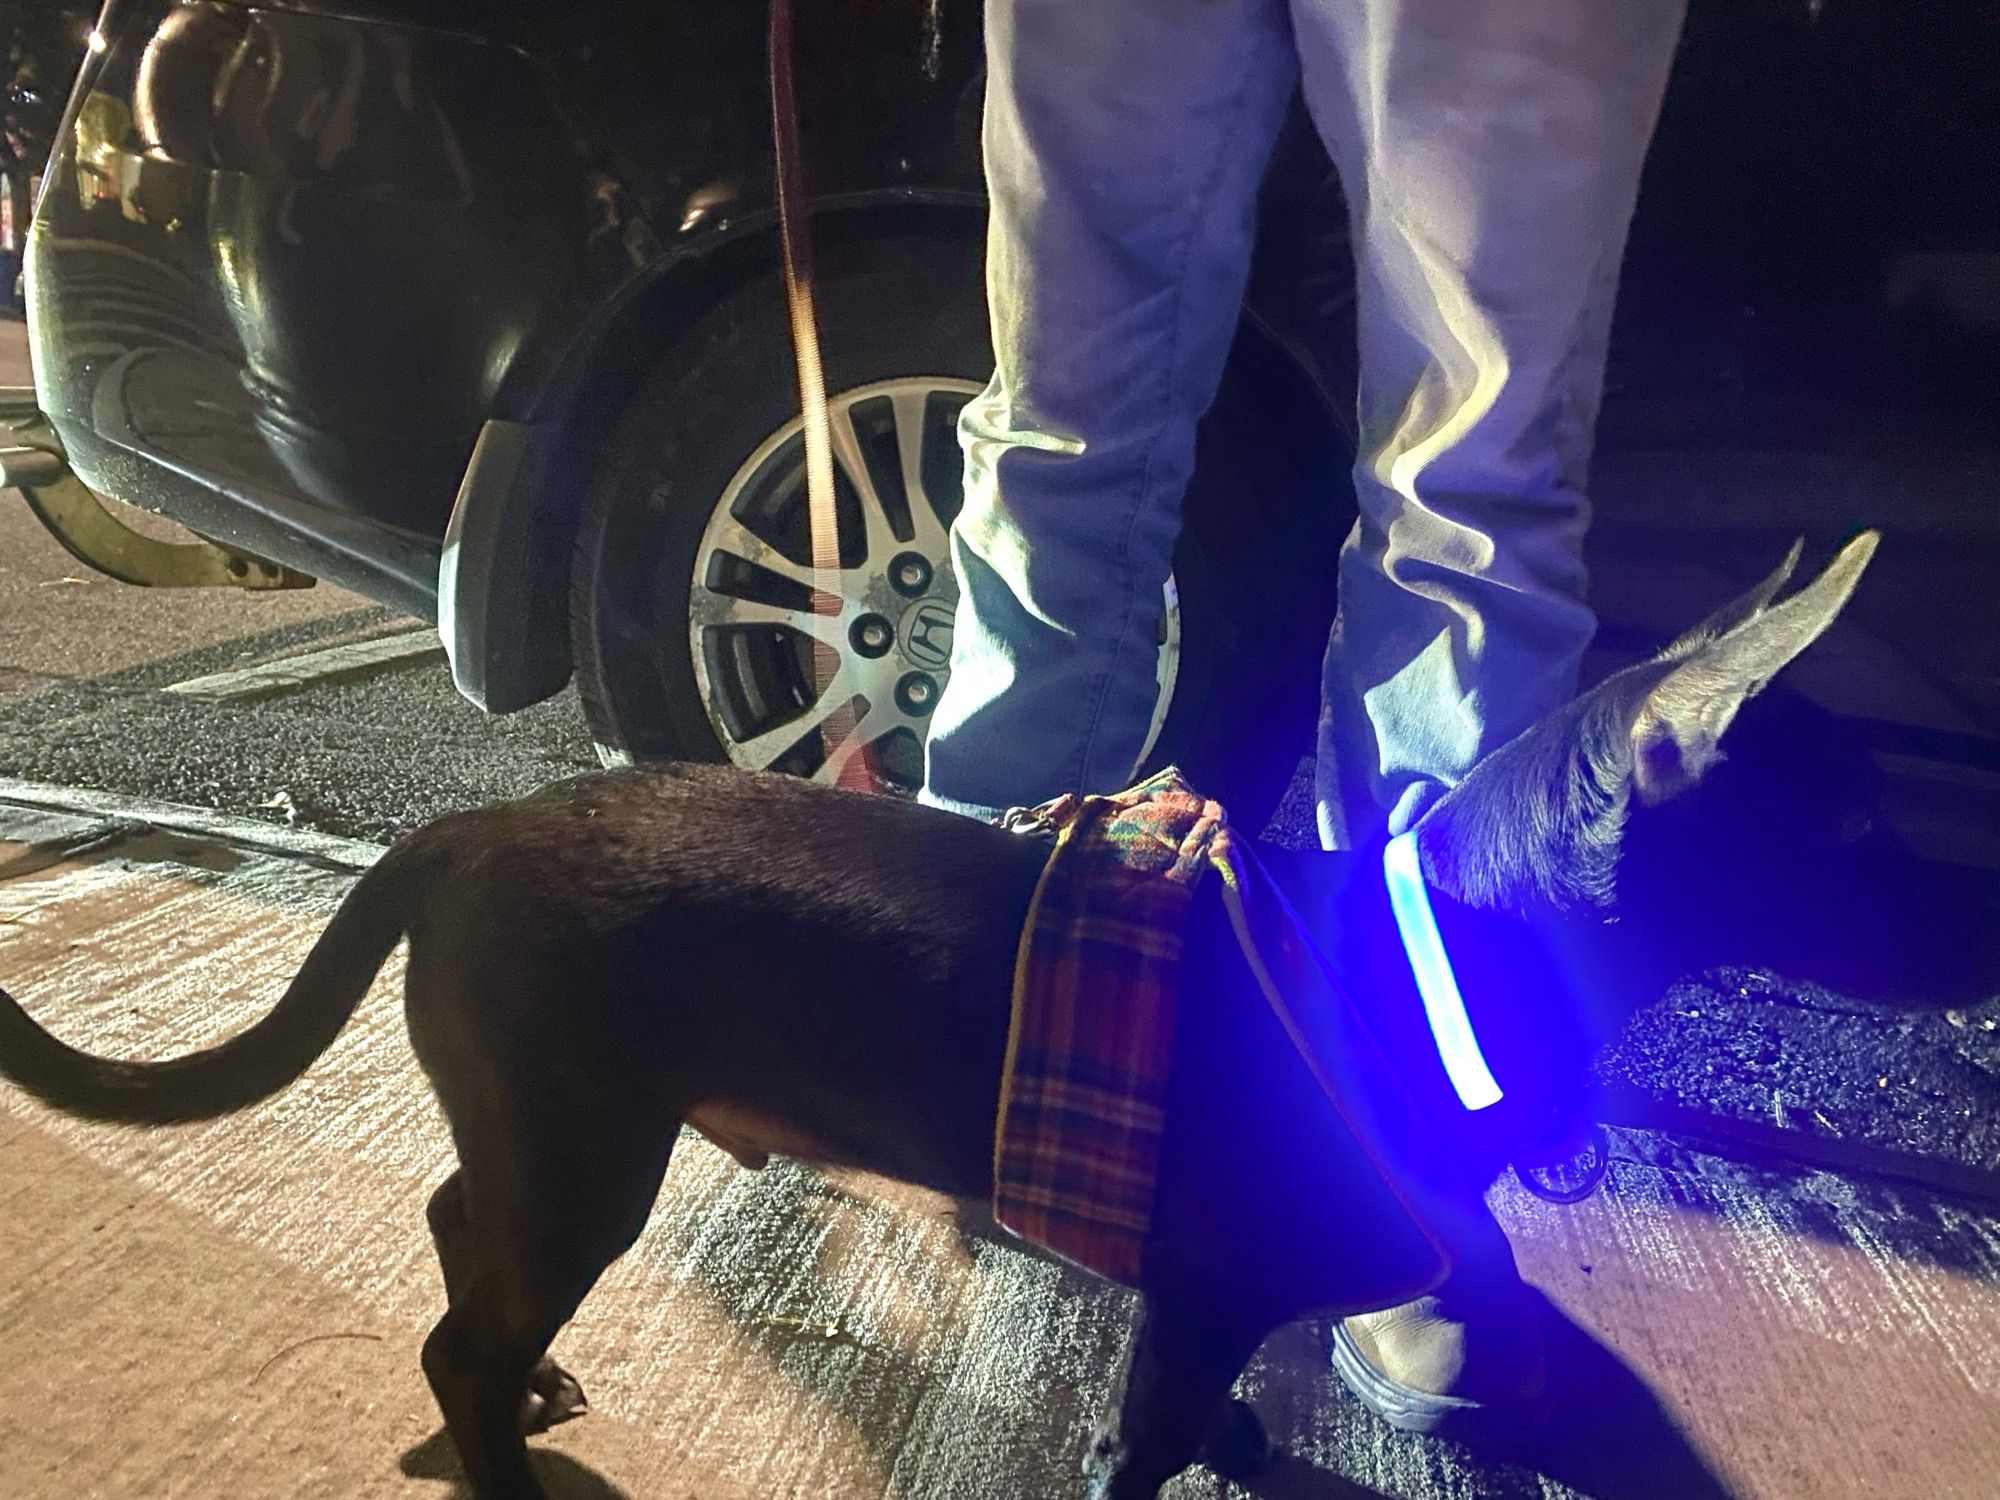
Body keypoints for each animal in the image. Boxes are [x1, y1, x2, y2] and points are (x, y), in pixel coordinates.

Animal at [0, 536, 1992, 1496]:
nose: (1990, 924)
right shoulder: (1188, 1305)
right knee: (459, 1348)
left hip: (547, 1128)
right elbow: (1144, 1449)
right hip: (584, 1156)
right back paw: (507, 1459)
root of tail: (466, 826)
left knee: (449, 1219)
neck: (1422, 969)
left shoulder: (1210, 1301)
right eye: (1863, 833)